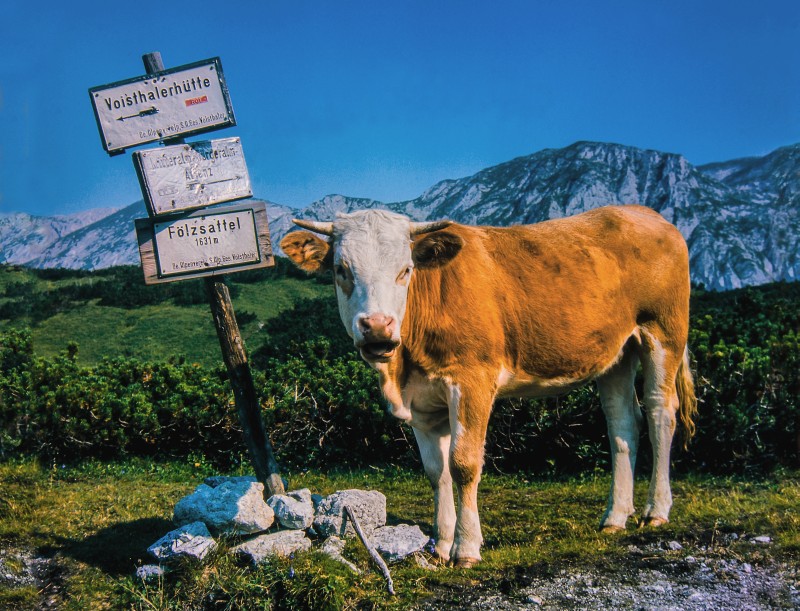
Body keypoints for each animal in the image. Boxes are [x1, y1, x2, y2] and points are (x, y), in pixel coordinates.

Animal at [280, 206, 692, 568]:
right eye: (341, 270)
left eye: (405, 270)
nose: (378, 327)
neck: (404, 365)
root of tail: (645, 213)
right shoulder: (422, 404)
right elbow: (436, 472)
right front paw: (441, 545)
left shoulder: (473, 379)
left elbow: (463, 464)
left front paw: (465, 548)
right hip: (616, 353)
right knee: (623, 424)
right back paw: (615, 517)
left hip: (663, 331)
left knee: (660, 411)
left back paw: (656, 510)